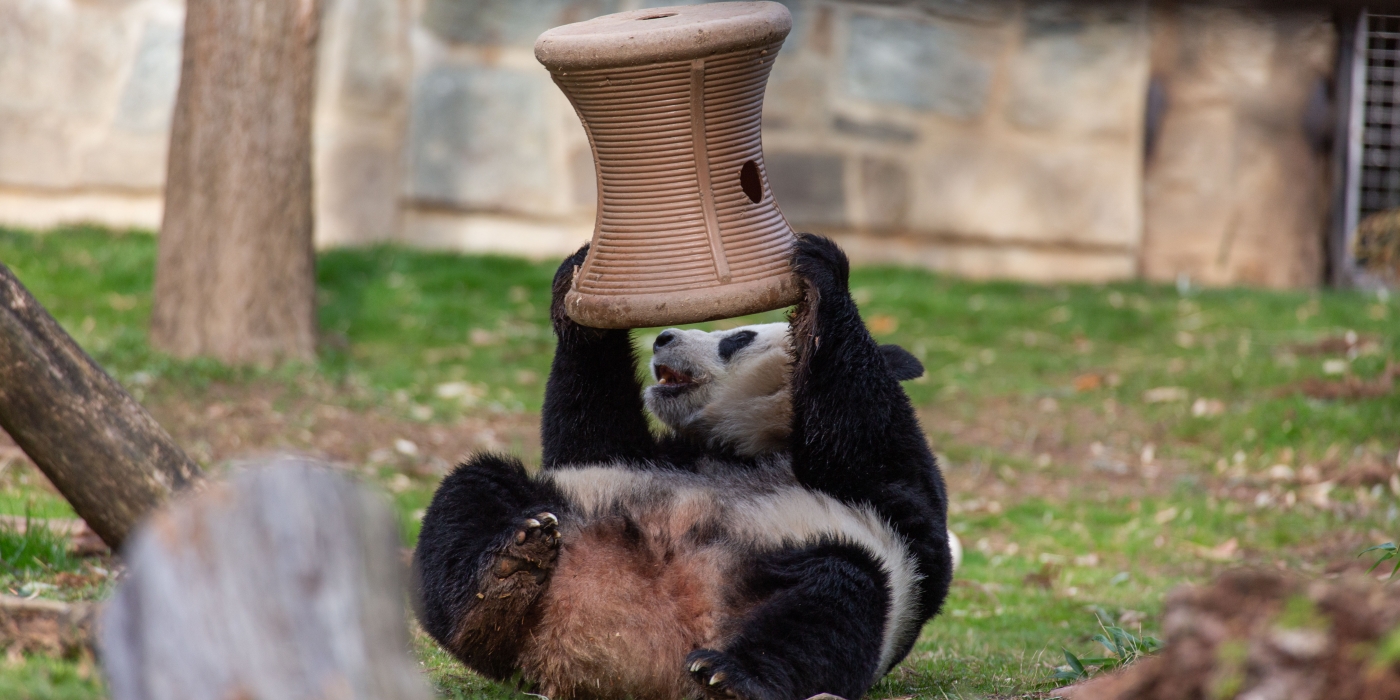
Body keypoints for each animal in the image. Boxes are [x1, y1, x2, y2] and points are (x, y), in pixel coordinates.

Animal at [414, 235, 957, 700]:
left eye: (737, 337)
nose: (663, 337)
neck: (752, 445)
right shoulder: (660, 454)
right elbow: (587, 438)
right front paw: (580, 277)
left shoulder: (897, 502)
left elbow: (865, 435)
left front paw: (821, 273)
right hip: (570, 511)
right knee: (473, 492)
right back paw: (500, 581)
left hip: (820, 565)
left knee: (835, 599)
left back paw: (733, 676)